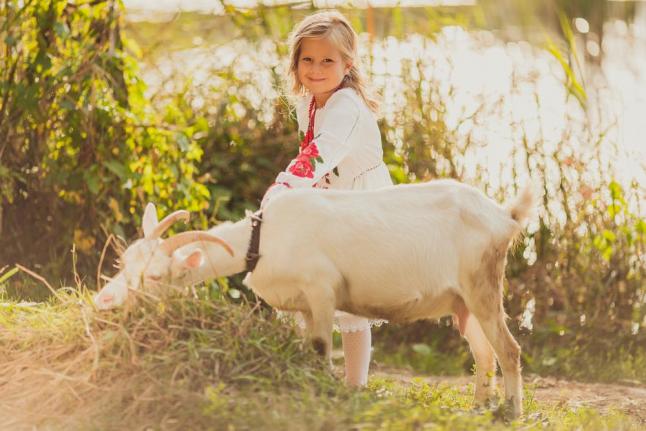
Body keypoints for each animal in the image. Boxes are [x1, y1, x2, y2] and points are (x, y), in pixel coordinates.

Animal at [93, 179, 536, 418]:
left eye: (154, 275)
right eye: (122, 262)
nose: (104, 301)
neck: (263, 239)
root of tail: (504, 216)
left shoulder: (323, 290)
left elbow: (323, 346)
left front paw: (325, 395)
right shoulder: (303, 306)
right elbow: (309, 348)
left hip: (482, 283)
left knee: (509, 349)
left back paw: (511, 413)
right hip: (462, 301)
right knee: (484, 353)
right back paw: (478, 409)